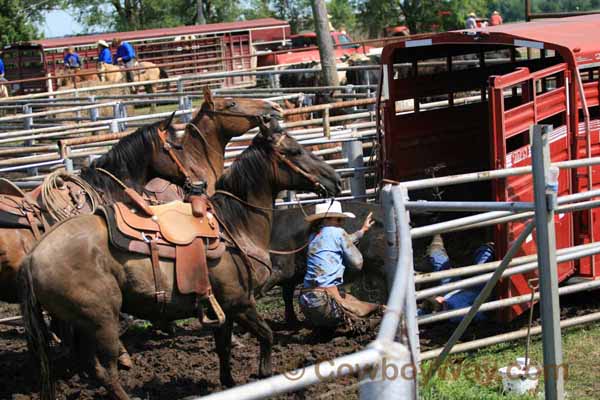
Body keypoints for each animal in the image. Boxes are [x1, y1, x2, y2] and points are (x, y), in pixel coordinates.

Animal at [18, 120, 340, 398]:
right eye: (295, 151)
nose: (335, 179)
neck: (235, 226)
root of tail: (33, 257)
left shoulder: (223, 308)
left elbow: (224, 348)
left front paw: (229, 384)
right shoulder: (240, 303)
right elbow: (268, 335)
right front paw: (263, 375)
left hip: (80, 325)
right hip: (101, 321)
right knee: (105, 371)